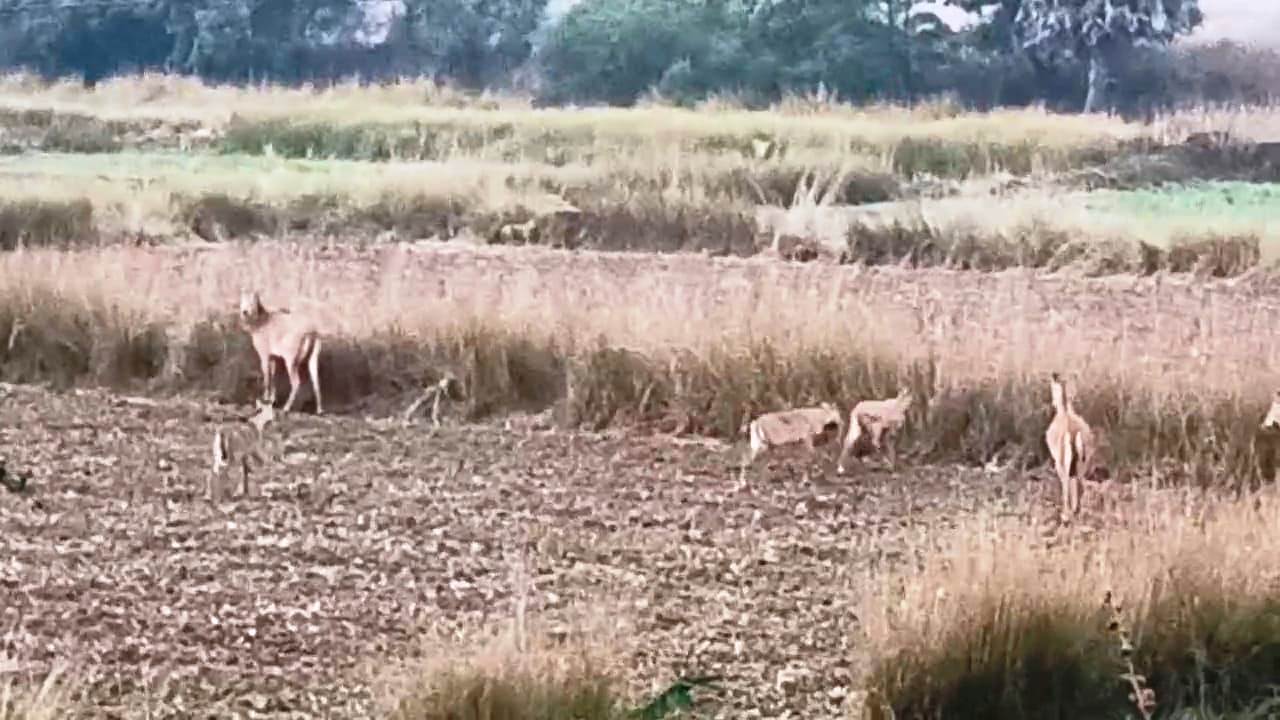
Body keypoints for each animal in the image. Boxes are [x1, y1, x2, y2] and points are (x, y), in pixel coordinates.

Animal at [1039, 371, 1100, 517]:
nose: (1053, 403)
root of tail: (1073, 433)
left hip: (1062, 464)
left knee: (1066, 483)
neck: (1065, 410)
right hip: (1082, 464)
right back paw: (1077, 511)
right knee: (1080, 483)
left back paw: (1065, 513)